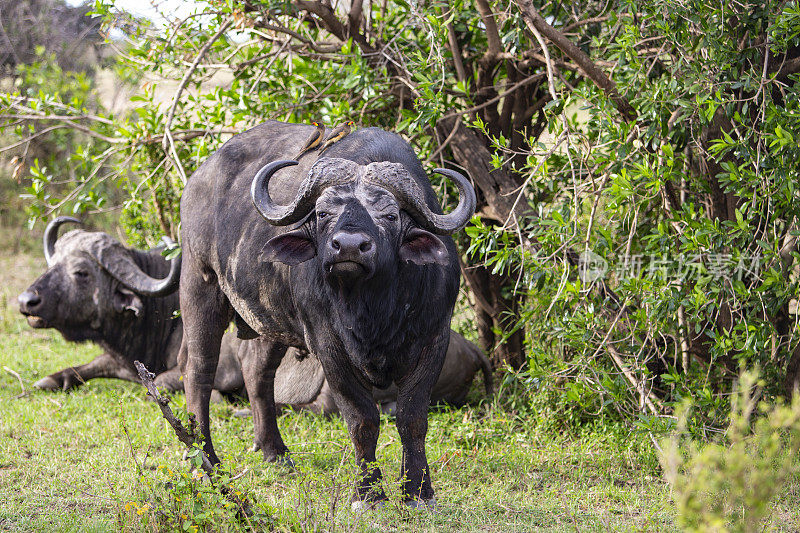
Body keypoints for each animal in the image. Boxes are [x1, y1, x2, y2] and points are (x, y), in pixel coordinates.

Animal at [18, 216, 490, 412]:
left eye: (81, 272)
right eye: (53, 261)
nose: (27, 302)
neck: (164, 316)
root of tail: (472, 349)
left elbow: (164, 385)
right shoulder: (118, 358)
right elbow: (81, 367)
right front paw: (46, 381)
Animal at [181, 120, 476, 508]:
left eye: (390, 214)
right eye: (323, 212)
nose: (348, 246)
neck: (372, 309)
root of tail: (199, 178)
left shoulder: (434, 338)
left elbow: (412, 418)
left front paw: (418, 491)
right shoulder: (329, 346)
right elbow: (362, 418)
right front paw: (368, 494)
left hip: (272, 317)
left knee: (257, 372)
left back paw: (275, 452)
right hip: (199, 285)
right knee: (198, 372)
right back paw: (207, 462)